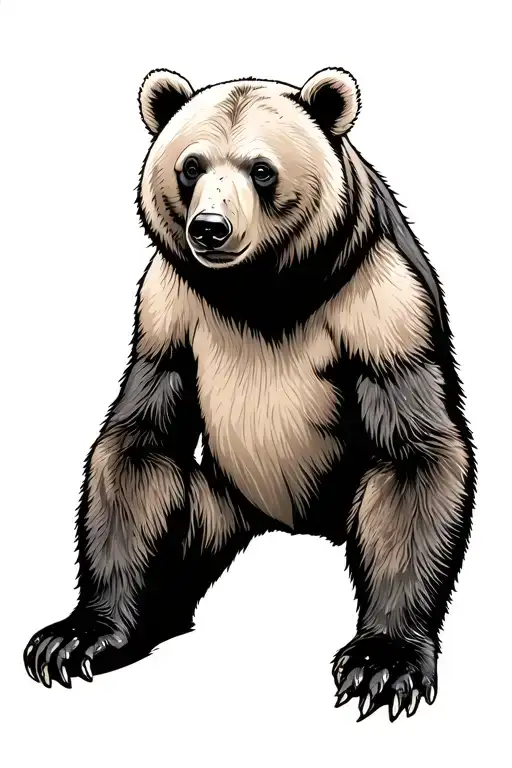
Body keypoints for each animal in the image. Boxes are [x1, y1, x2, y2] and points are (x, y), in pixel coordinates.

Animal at [23, 66, 475, 723]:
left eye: (261, 169)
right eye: (190, 165)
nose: (210, 228)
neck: (261, 293)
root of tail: (283, 522)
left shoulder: (380, 301)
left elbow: (412, 452)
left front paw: (383, 662)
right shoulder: (169, 308)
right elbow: (141, 440)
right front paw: (80, 635)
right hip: (217, 503)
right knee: (174, 514)